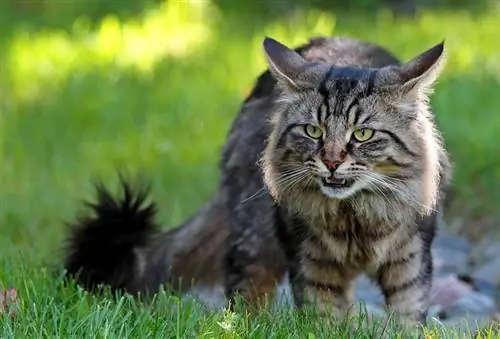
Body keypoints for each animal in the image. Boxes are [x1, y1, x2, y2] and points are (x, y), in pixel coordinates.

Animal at [61, 34, 450, 326]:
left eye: (363, 134)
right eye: (313, 131)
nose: (331, 161)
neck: (354, 219)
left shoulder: (410, 261)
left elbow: (406, 318)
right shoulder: (312, 263)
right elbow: (323, 319)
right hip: (257, 237)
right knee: (245, 292)